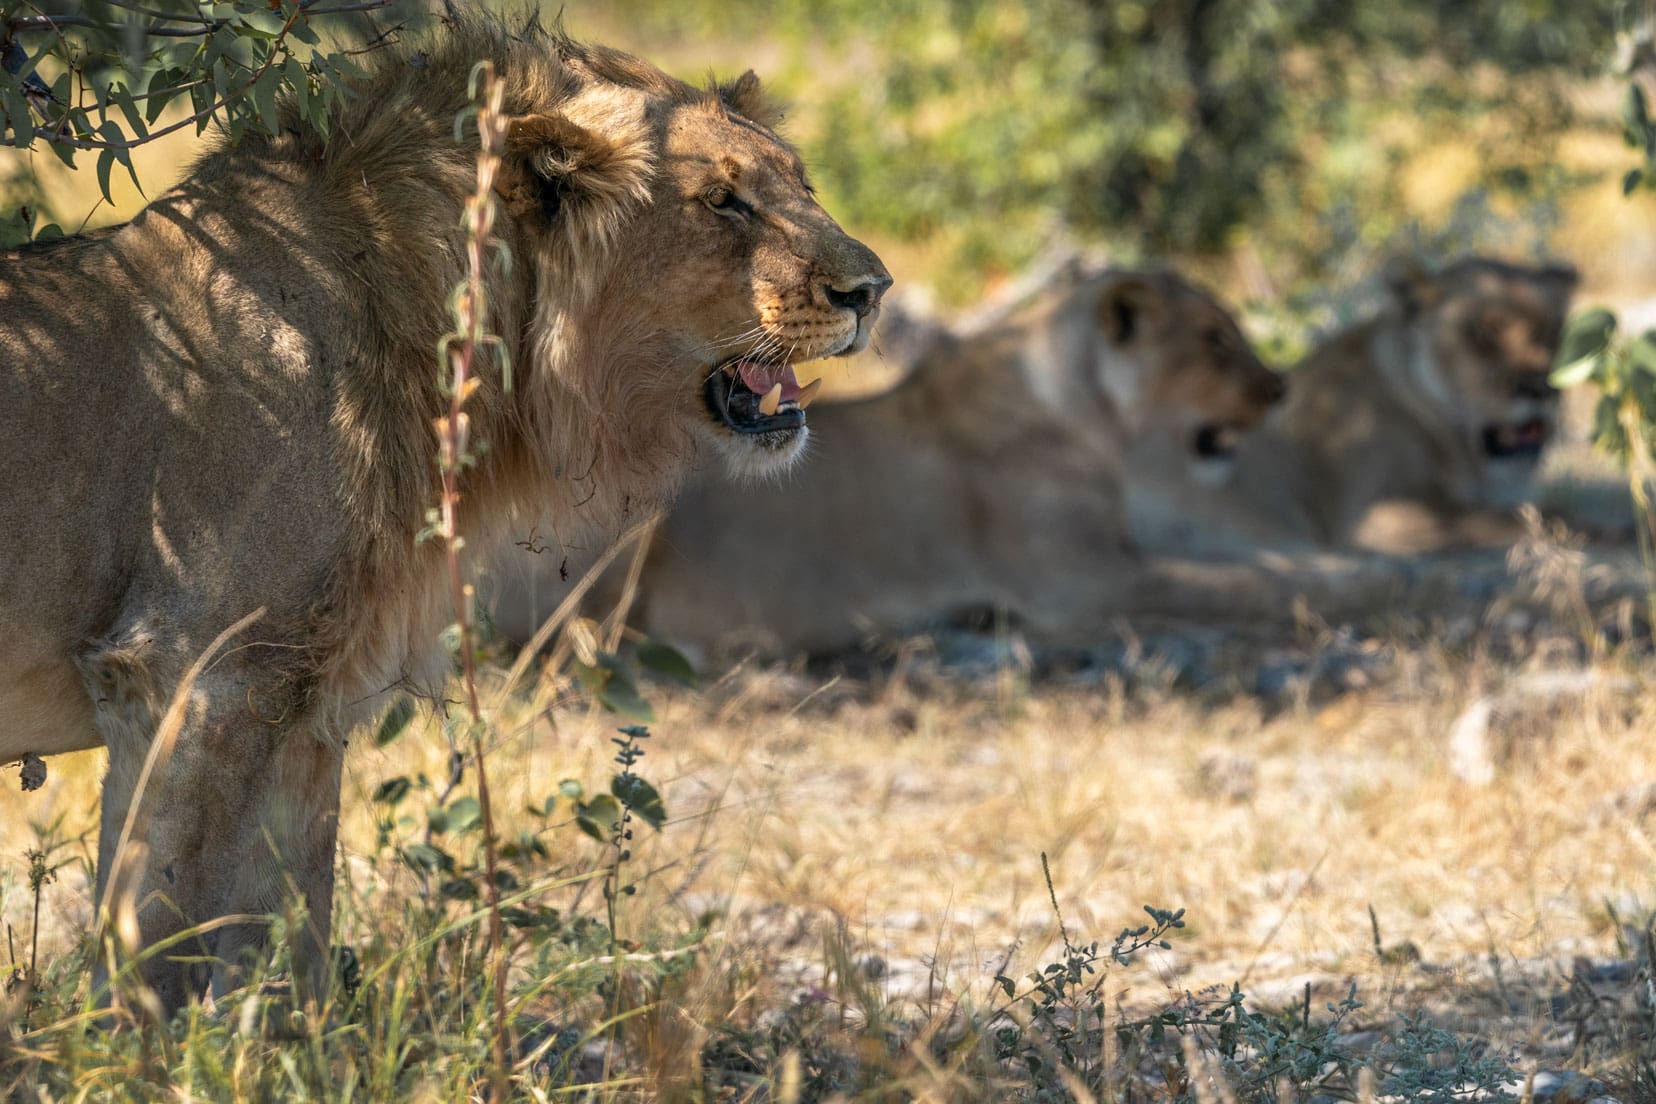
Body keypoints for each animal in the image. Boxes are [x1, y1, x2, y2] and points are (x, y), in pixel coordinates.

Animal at [0, 19, 894, 1019]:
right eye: (724, 202)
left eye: (801, 185)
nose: (875, 289)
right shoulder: (188, 670)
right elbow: (160, 935)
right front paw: (133, 1044)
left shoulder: (304, 700)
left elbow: (291, 927)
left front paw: (297, 1041)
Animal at [490, 268, 1291, 662]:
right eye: (1216, 340)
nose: (1281, 386)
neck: (1088, 415)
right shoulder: (1080, 582)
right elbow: (1244, 583)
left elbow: (1255, 563)